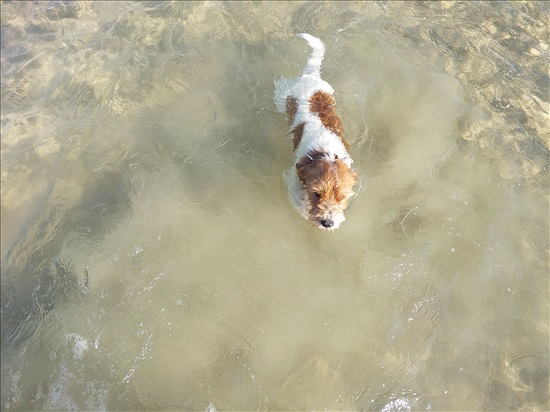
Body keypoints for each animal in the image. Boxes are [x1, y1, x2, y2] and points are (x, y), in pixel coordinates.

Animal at [274, 33, 358, 230]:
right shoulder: (294, 177)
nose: (328, 222)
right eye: (316, 194)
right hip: (282, 96)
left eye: (341, 197)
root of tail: (310, 76)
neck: (325, 153)